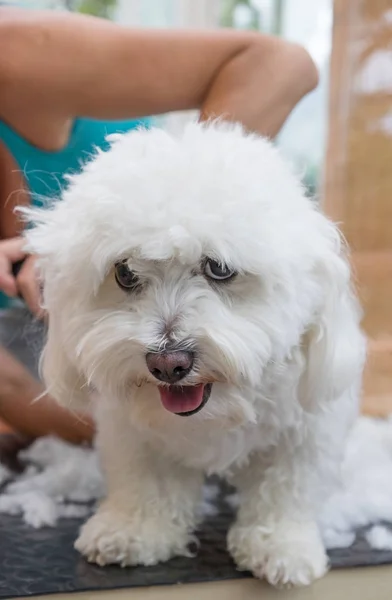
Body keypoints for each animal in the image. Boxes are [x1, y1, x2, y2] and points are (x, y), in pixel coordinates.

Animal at [25, 122, 368, 584]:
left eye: (219, 268)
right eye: (125, 272)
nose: (168, 363)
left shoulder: (306, 430)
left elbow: (287, 487)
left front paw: (281, 545)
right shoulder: (133, 432)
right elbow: (147, 481)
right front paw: (134, 531)